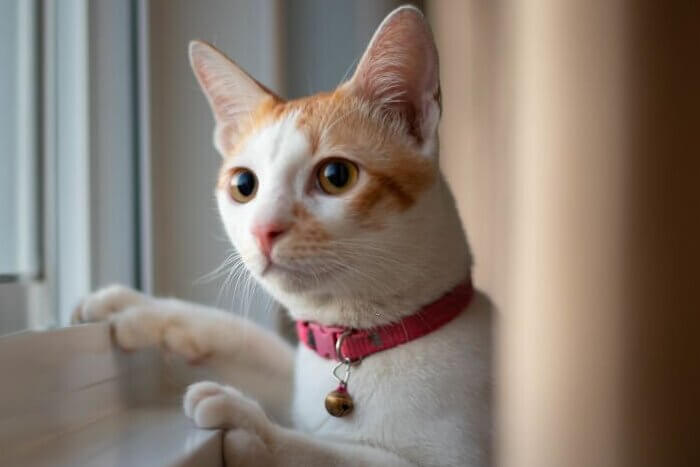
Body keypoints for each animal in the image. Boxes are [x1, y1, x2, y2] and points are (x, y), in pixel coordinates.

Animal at [74, 7, 492, 467]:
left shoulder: (449, 457)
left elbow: (332, 451)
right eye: (243, 185)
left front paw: (251, 424)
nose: (263, 229)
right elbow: (253, 343)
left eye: (336, 176)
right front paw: (146, 310)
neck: (358, 344)